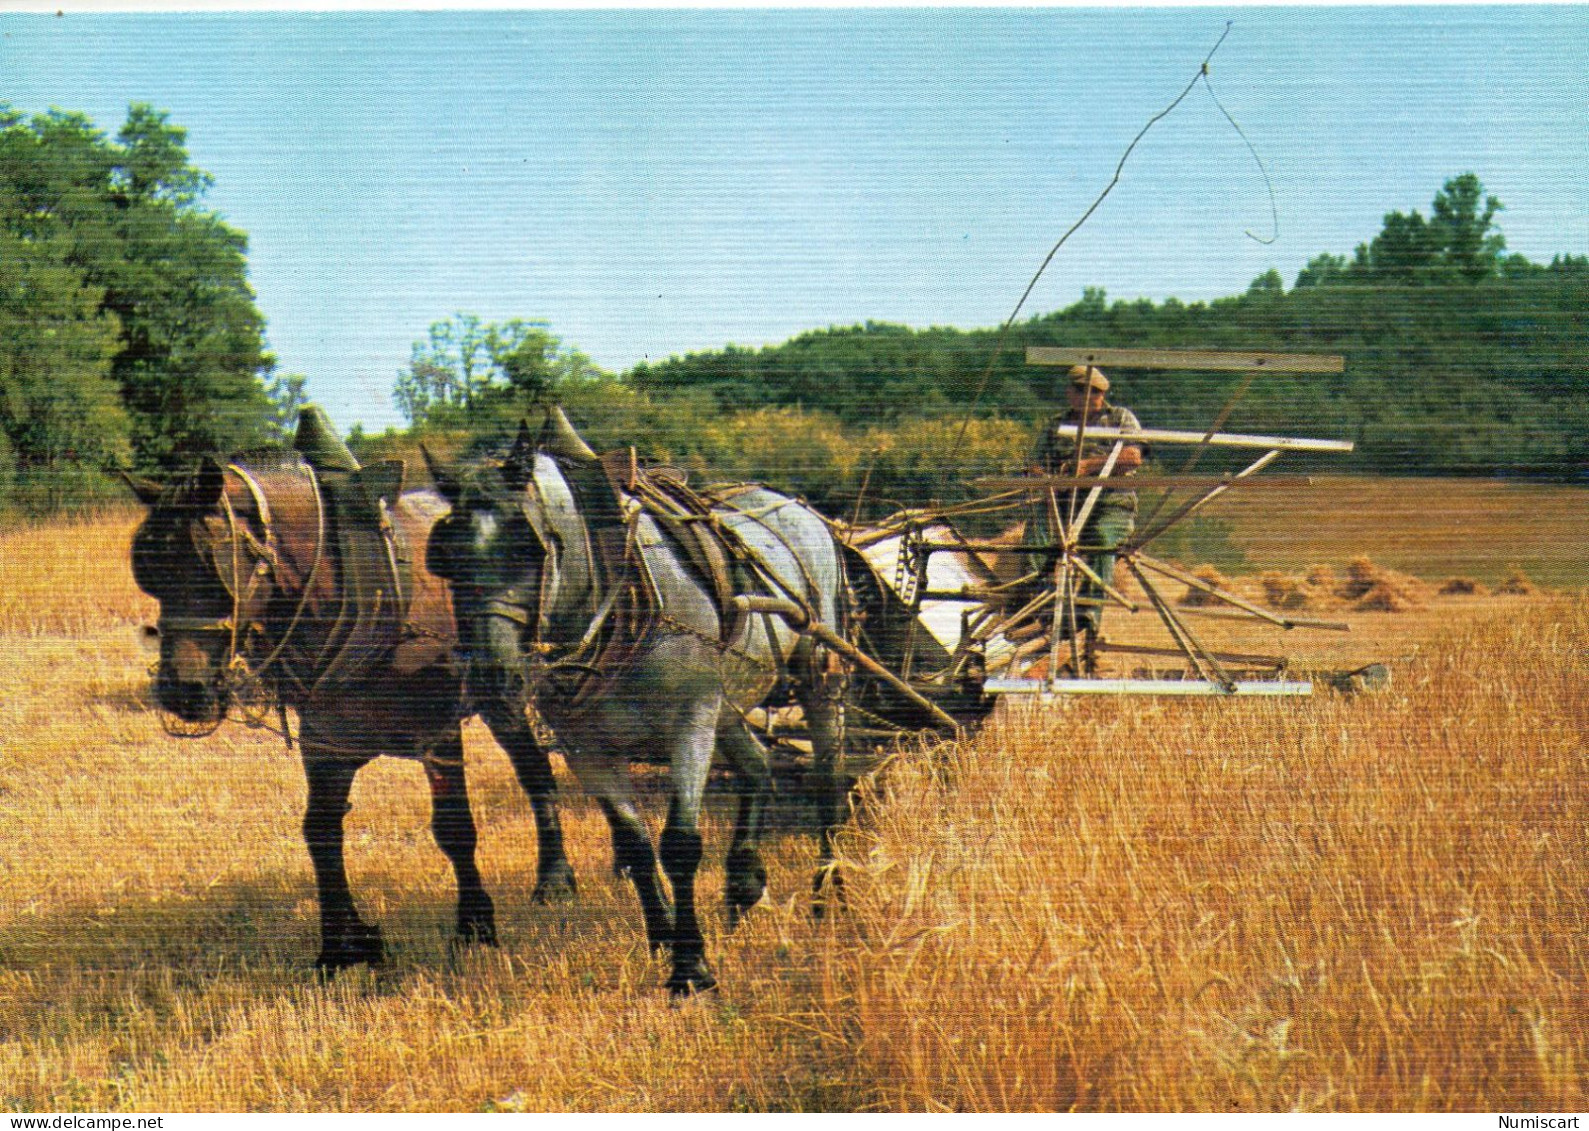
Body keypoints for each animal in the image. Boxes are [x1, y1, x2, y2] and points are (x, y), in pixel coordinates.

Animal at [128, 409, 578, 972]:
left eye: (214, 569)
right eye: (150, 574)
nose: (183, 691)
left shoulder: (438, 731)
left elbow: (454, 827)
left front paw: (475, 925)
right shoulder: (326, 741)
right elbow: (320, 832)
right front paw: (341, 946)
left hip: (506, 692)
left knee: (535, 769)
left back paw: (556, 878)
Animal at [419, 413, 845, 991]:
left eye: (528, 546)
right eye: (445, 556)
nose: (489, 675)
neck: (614, 596)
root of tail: (795, 505)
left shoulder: (690, 723)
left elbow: (679, 845)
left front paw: (691, 967)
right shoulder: (587, 749)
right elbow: (636, 845)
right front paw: (663, 939)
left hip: (815, 670)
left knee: (828, 776)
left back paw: (829, 890)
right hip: (725, 699)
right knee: (758, 765)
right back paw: (743, 881)